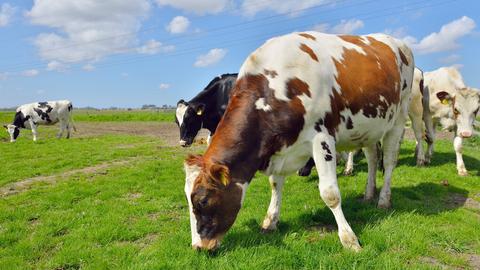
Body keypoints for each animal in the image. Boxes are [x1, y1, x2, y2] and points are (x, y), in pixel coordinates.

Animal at [184, 31, 416, 251]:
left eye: (203, 200)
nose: (199, 247)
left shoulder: (322, 138)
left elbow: (330, 193)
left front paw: (349, 239)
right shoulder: (279, 146)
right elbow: (275, 184)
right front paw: (270, 221)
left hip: (399, 117)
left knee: (389, 162)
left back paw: (383, 199)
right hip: (370, 128)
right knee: (373, 159)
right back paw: (369, 194)